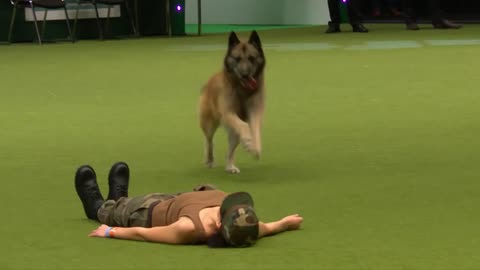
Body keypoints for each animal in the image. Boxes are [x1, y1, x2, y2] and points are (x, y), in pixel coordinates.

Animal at [199, 30, 266, 174]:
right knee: (209, 141)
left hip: (234, 134)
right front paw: (248, 141)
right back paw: (209, 160)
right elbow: (244, 125)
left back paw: (230, 166)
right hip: (209, 124)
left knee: (230, 151)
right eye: (237, 59)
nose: (245, 74)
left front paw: (255, 147)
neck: (242, 89)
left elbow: (255, 129)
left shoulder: (255, 113)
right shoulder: (228, 112)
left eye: (251, 58)